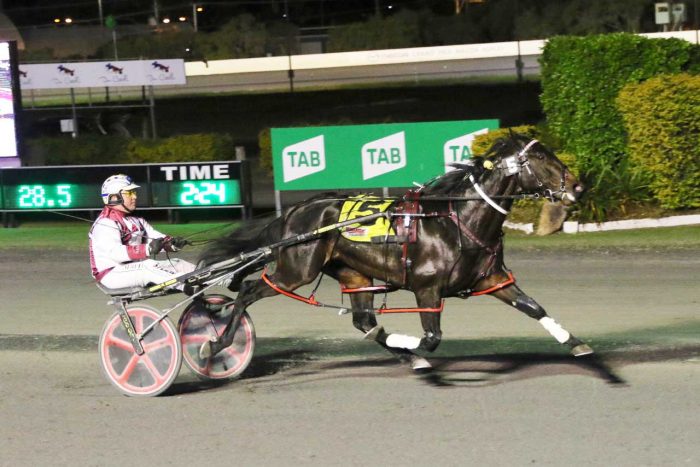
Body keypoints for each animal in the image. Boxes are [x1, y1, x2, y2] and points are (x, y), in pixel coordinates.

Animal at [197, 133, 592, 372]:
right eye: (539, 156)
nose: (577, 186)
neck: (457, 219)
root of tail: (295, 211)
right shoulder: (427, 288)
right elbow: (432, 339)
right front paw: (415, 348)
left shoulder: (492, 279)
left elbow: (533, 308)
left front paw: (577, 344)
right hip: (296, 270)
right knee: (249, 291)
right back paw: (215, 345)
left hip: (354, 274)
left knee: (365, 322)